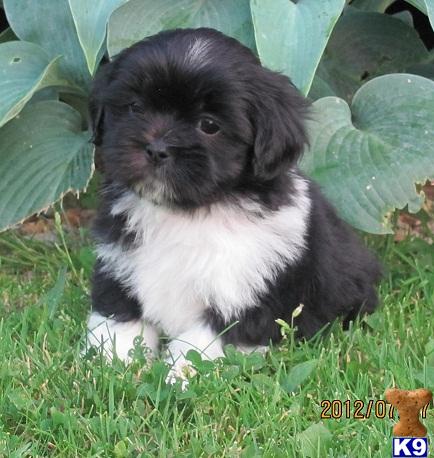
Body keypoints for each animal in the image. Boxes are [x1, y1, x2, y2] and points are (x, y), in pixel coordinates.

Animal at [86, 27, 382, 376]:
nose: (157, 148)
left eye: (209, 125)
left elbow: (200, 345)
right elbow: (119, 318)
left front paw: (177, 378)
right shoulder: (120, 265)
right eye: (135, 107)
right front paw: (108, 364)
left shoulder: (242, 293)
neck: (189, 211)